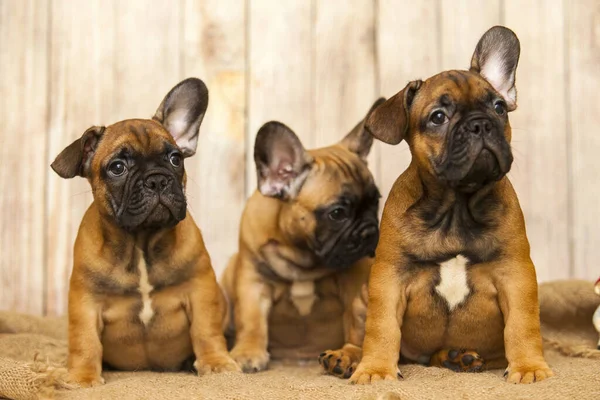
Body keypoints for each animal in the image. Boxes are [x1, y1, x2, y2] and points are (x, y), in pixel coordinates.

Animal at [51, 78, 239, 388]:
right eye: (117, 167)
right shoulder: (85, 301)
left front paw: (216, 364)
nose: (157, 179)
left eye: (175, 159)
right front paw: (82, 378)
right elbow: (84, 340)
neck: (140, 241)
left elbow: (206, 330)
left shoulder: (200, 288)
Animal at [221, 99, 384, 372]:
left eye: (376, 202)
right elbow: (251, 319)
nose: (370, 230)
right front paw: (248, 352)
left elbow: (356, 322)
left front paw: (349, 353)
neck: (303, 258)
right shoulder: (253, 280)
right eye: (337, 213)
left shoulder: (354, 281)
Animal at [346, 25, 552, 384]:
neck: (457, 206)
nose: (480, 123)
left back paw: (458, 358)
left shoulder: (516, 274)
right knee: (357, 337)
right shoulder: (388, 278)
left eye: (499, 107)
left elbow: (522, 325)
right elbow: (381, 328)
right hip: (362, 297)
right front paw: (375, 370)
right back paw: (343, 357)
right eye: (438, 117)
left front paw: (529, 367)